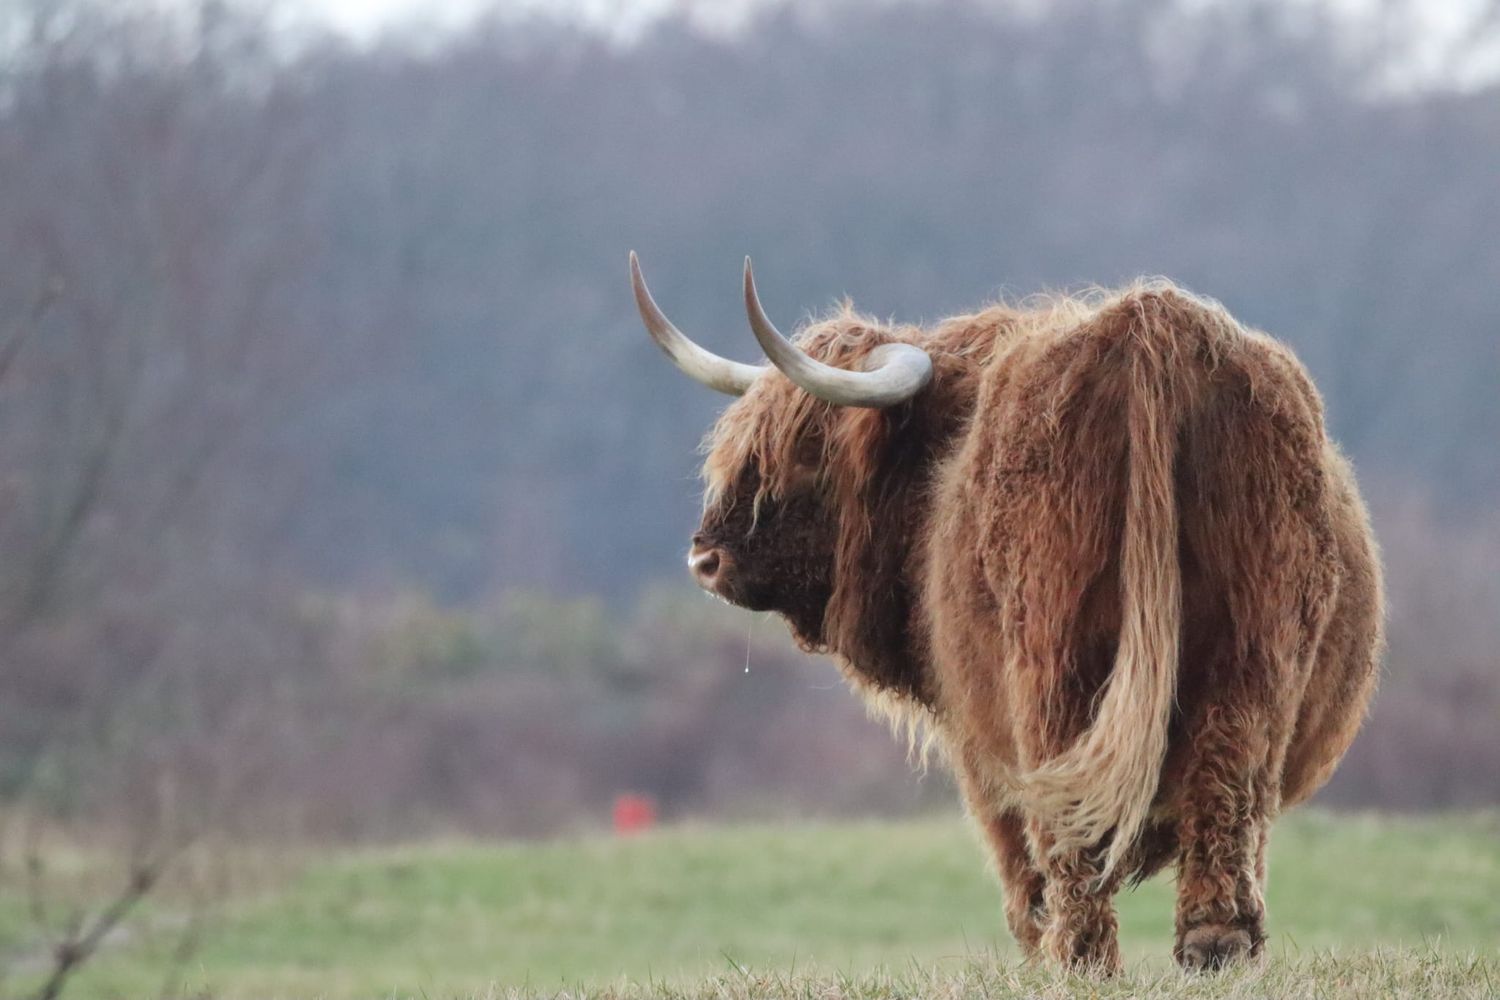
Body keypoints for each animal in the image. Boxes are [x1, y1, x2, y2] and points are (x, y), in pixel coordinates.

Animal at [628, 252, 1383, 973]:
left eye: (806, 450)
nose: (706, 558)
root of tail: (1150, 329)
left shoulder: (971, 733)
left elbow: (1010, 844)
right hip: (1254, 655)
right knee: (1227, 785)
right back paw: (1214, 946)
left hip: (1051, 662)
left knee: (1066, 831)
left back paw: (1076, 958)